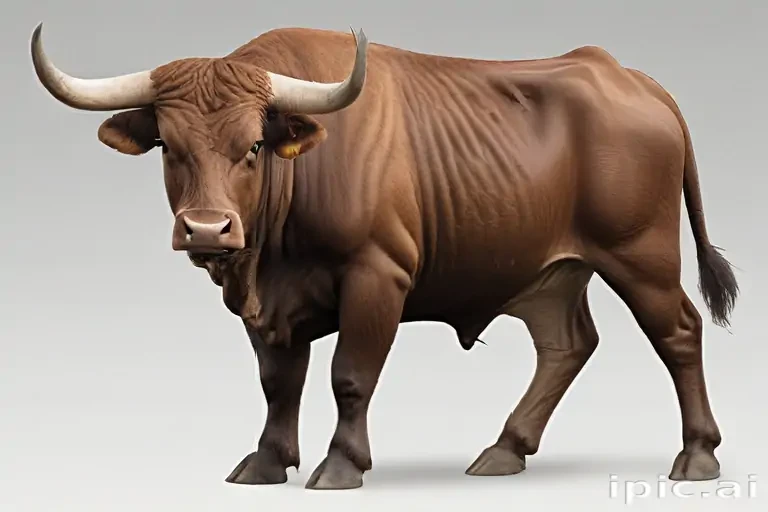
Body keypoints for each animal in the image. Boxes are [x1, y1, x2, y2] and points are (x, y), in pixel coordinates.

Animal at [30, 22, 739, 491]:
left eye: (254, 145)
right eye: (170, 147)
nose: (208, 229)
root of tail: (626, 76)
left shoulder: (378, 277)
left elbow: (350, 374)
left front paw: (342, 463)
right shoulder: (268, 307)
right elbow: (278, 382)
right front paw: (267, 461)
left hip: (641, 256)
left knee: (678, 332)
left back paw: (698, 456)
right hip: (554, 272)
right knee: (567, 344)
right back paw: (505, 448)